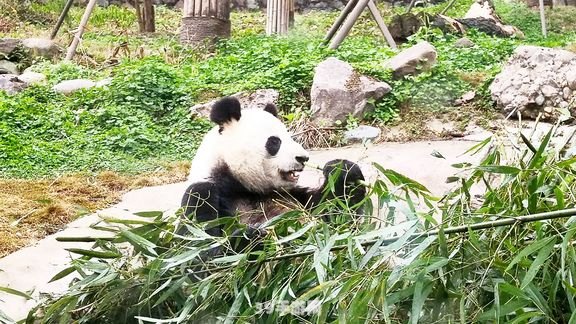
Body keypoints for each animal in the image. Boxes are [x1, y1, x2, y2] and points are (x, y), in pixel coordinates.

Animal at [182, 96, 366, 251]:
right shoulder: (203, 192)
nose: (303, 158)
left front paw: (342, 170)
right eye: (275, 141)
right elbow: (198, 251)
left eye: (291, 138)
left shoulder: (290, 195)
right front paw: (255, 236)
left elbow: (336, 216)